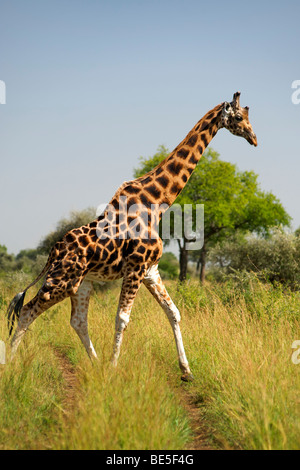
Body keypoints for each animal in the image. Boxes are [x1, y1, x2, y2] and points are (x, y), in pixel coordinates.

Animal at [7, 92, 255, 382]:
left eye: (248, 116)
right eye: (239, 117)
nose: (254, 138)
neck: (157, 202)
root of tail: (54, 251)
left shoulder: (150, 270)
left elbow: (174, 313)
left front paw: (187, 371)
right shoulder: (135, 267)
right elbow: (123, 319)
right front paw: (115, 368)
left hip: (82, 283)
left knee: (77, 321)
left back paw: (96, 363)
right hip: (62, 281)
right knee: (28, 310)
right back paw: (11, 363)